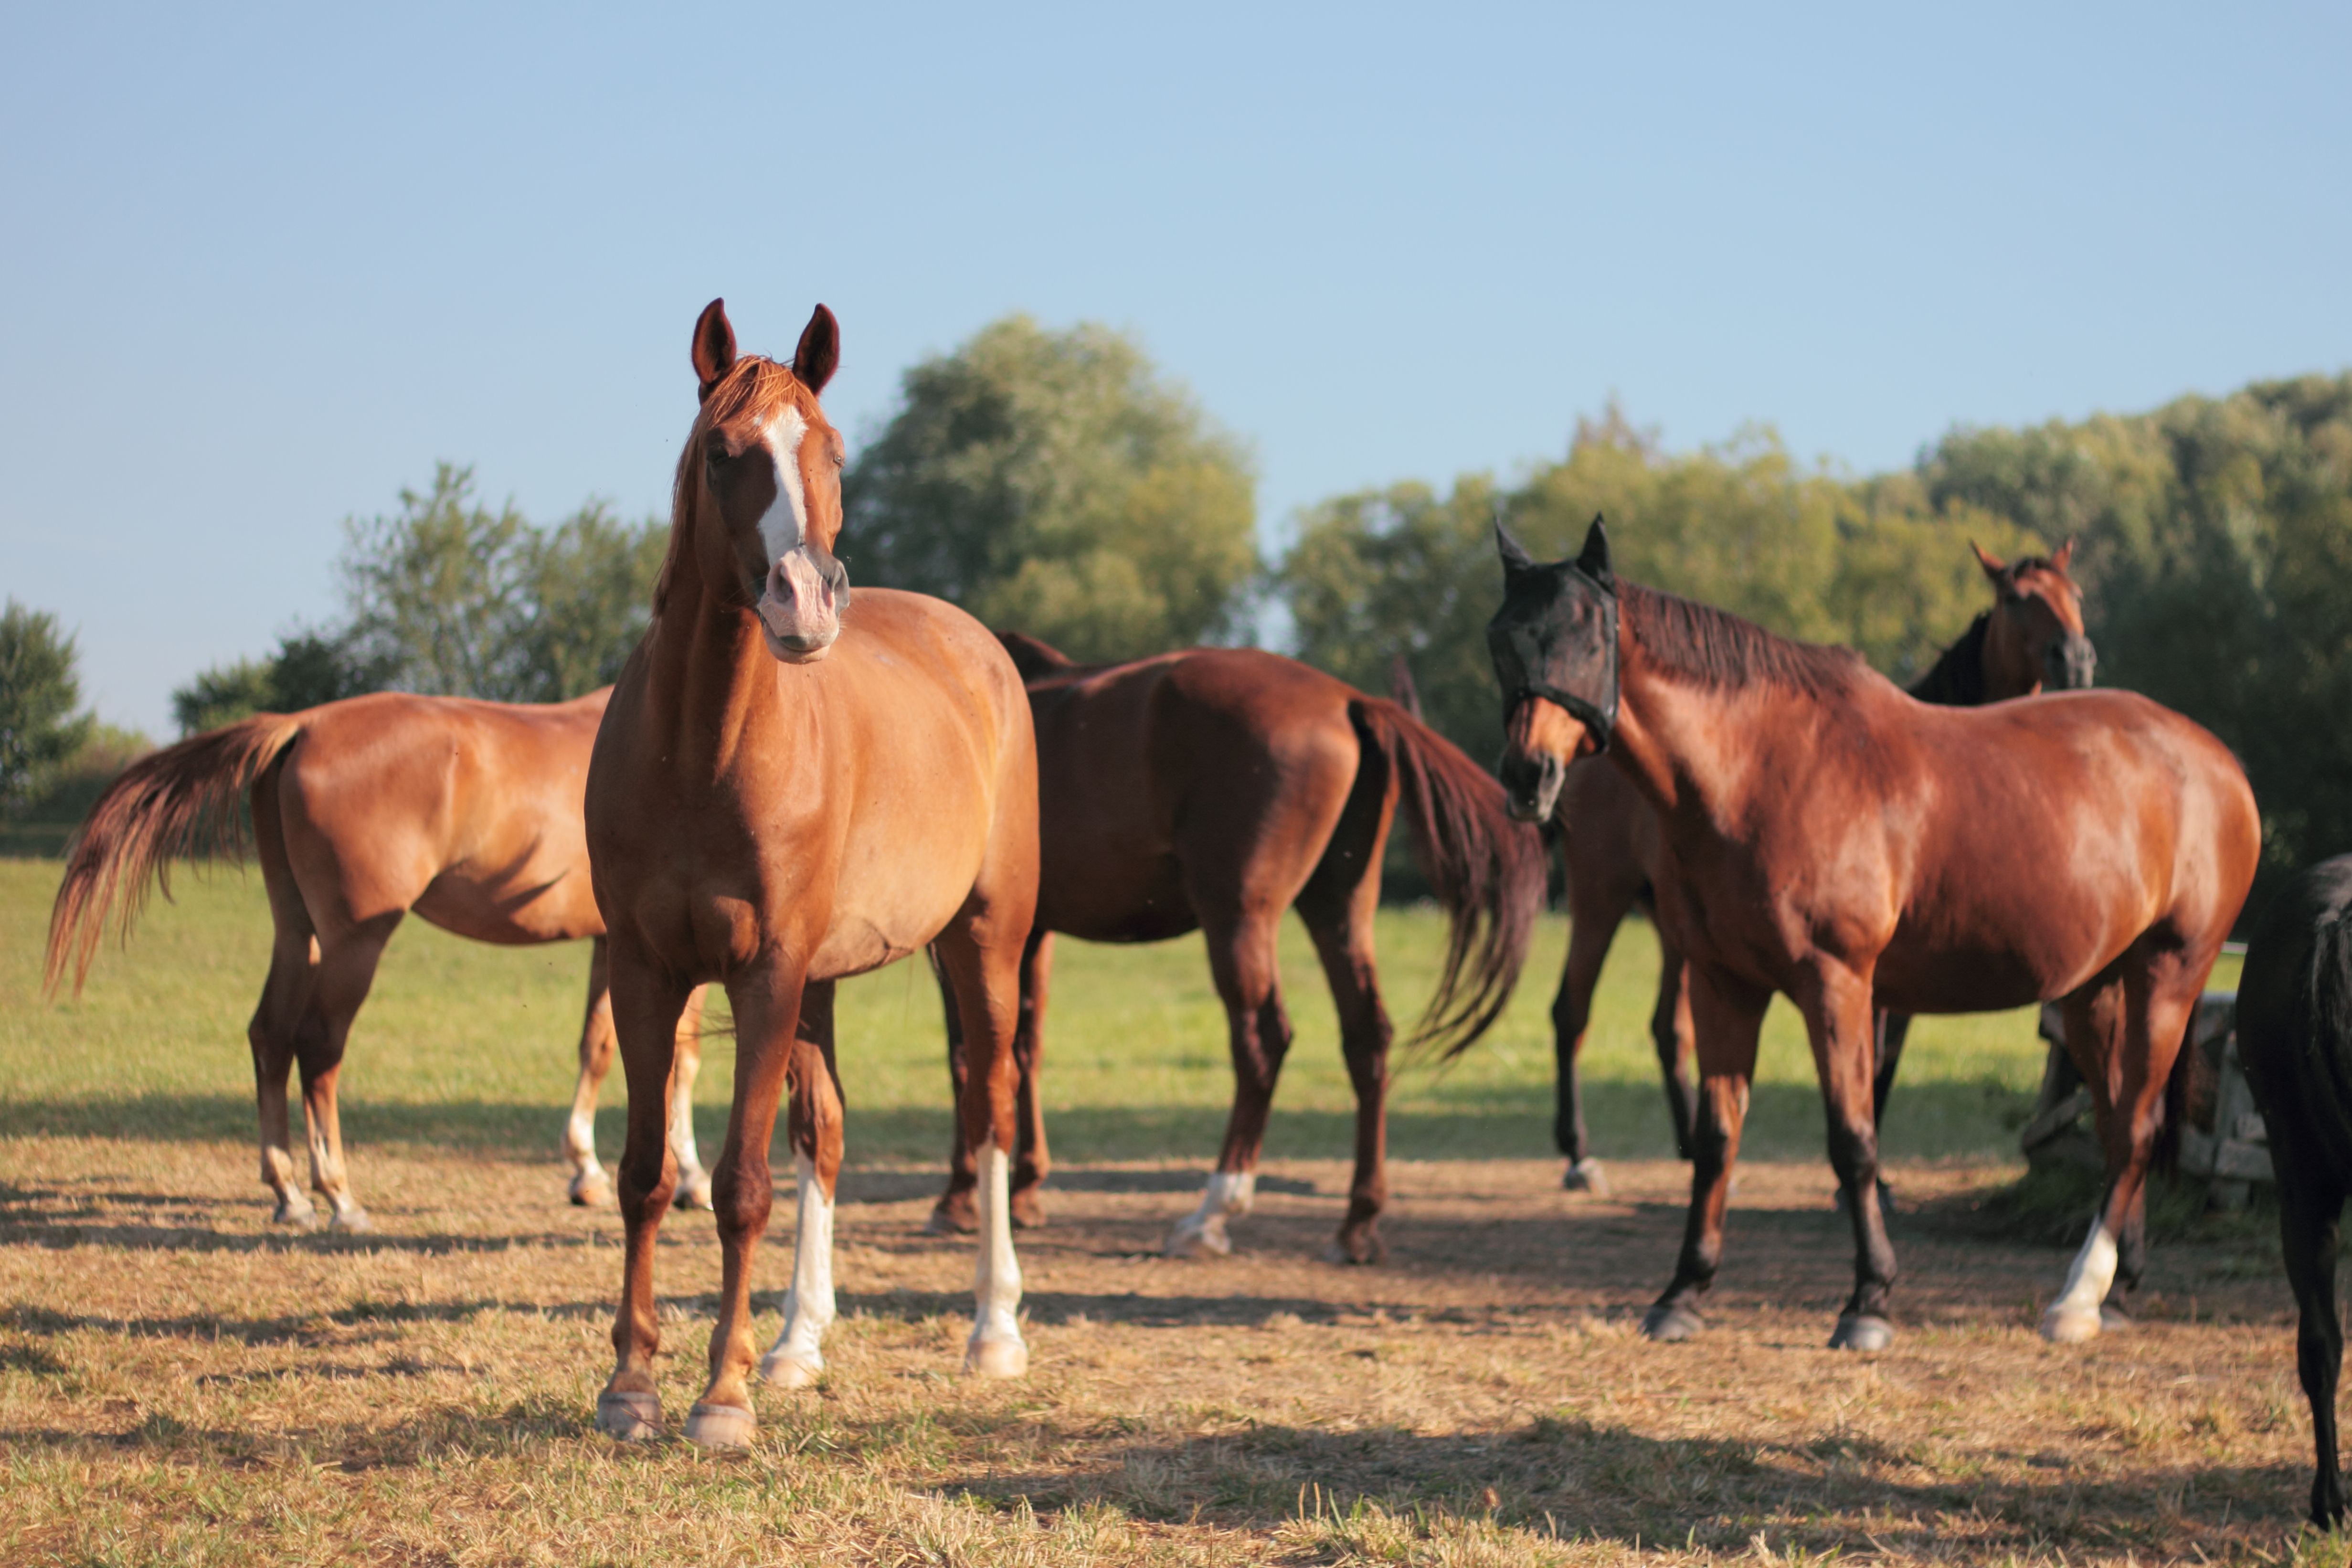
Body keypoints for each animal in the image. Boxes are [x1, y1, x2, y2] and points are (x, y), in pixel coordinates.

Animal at [43, 690, 711, 1229]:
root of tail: (301, 726)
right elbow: (680, 1059)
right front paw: (689, 1178)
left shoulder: (610, 944)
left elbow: (598, 1048)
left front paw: (586, 1169)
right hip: (354, 942)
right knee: (318, 1044)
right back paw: (339, 1195)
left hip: (299, 932)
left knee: (270, 1034)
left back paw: (290, 1192)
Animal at [581, 299, 1041, 1449]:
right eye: (722, 451)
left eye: (833, 451)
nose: (805, 602)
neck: (702, 749)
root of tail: (980, 647)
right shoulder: (649, 971)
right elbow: (649, 1174)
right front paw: (633, 1383)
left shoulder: (767, 971)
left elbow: (741, 1183)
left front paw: (721, 1397)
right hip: (824, 983)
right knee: (822, 1135)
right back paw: (797, 1340)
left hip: (984, 942)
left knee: (992, 1107)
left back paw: (993, 1332)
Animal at [928, 631, 1546, 1264]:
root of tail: (1348, 700)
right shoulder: (1032, 933)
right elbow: (1023, 1045)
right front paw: (1025, 1189)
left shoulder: (965, 935)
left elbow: (969, 1054)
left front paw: (960, 1196)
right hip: (1339, 907)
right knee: (1366, 1034)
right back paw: (1358, 1219)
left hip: (1238, 916)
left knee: (1262, 1041)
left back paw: (1213, 1211)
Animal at [1547, 543, 2097, 1194]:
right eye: (2015, 598)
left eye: (2075, 593)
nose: (2076, 658)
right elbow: (1870, 1061)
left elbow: (1884, 1062)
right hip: (1600, 901)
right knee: (1572, 1012)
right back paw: (1579, 1154)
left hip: (1676, 934)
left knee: (1667, 1029)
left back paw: (1691, 1148)